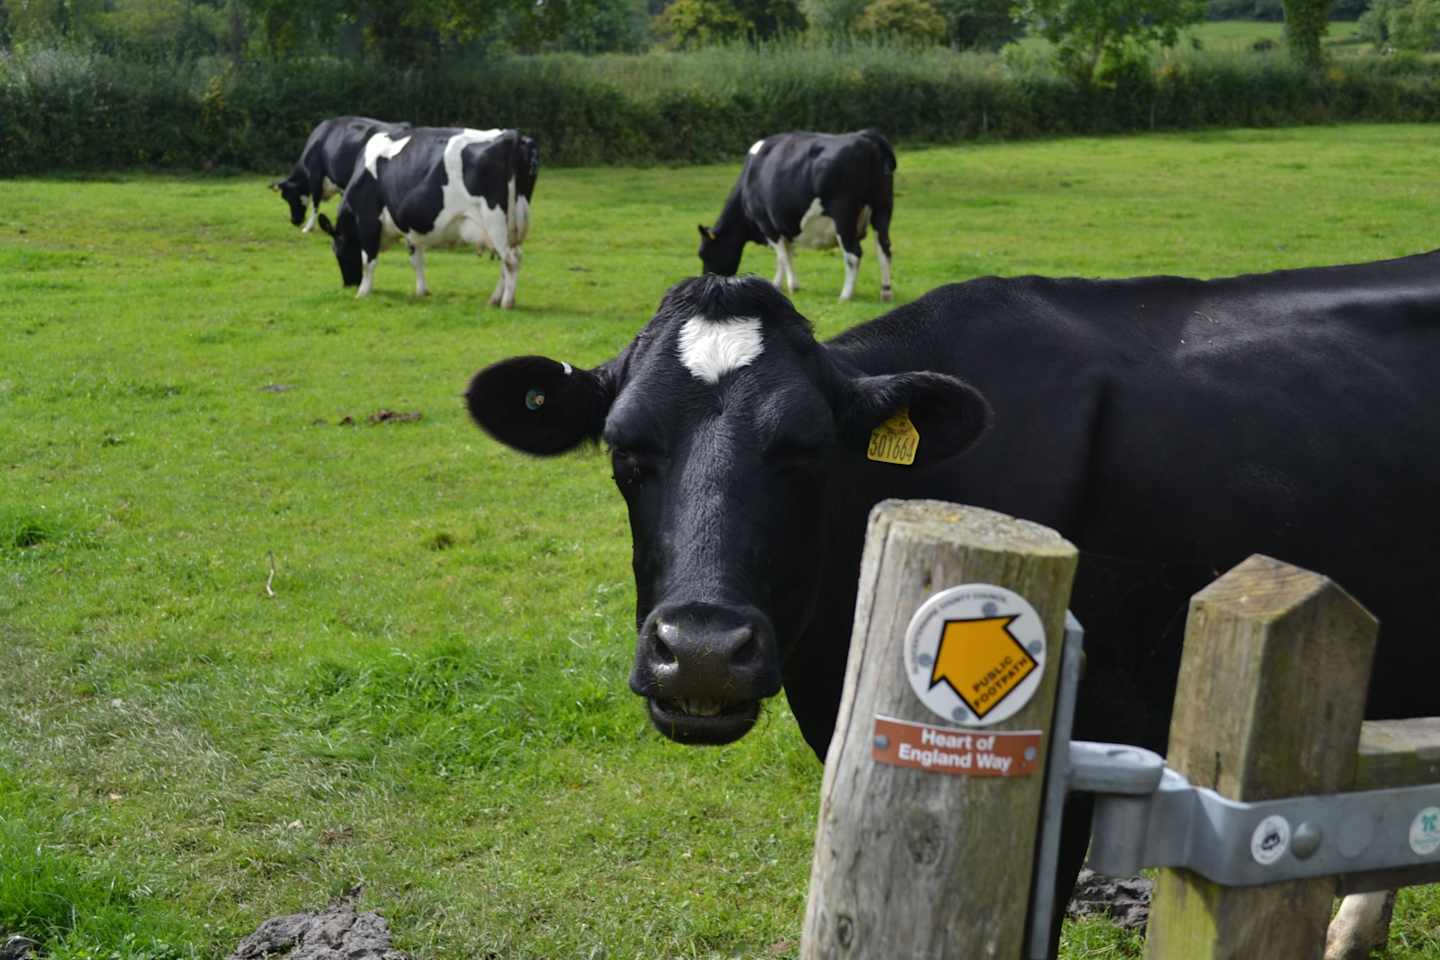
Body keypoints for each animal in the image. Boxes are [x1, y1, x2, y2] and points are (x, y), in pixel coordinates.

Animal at [316, 127, 539, 309]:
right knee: (509, 259)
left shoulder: (368, 219)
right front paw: (422, 291)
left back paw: (507, 303)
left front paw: (363, 292)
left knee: (511, 261)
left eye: (336, 250)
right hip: (510, 227)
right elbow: (417, 260)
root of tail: (511, 136)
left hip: (495, 221)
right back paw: (495, 299)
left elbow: (368, 260)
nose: (349, 284)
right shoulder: (410, 228)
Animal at [698, 130, 896, 303]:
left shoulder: (767, 224)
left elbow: (783, 256)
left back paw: (845, 295)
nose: (705, 287)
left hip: (843, 214)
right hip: (883, 207)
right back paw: (885, 291)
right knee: (884, 248)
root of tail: (865, 135)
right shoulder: (785, 226)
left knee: (853, 254)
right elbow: (786, 254)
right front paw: (777, 284)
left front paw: (792, 286)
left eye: (703, 254)